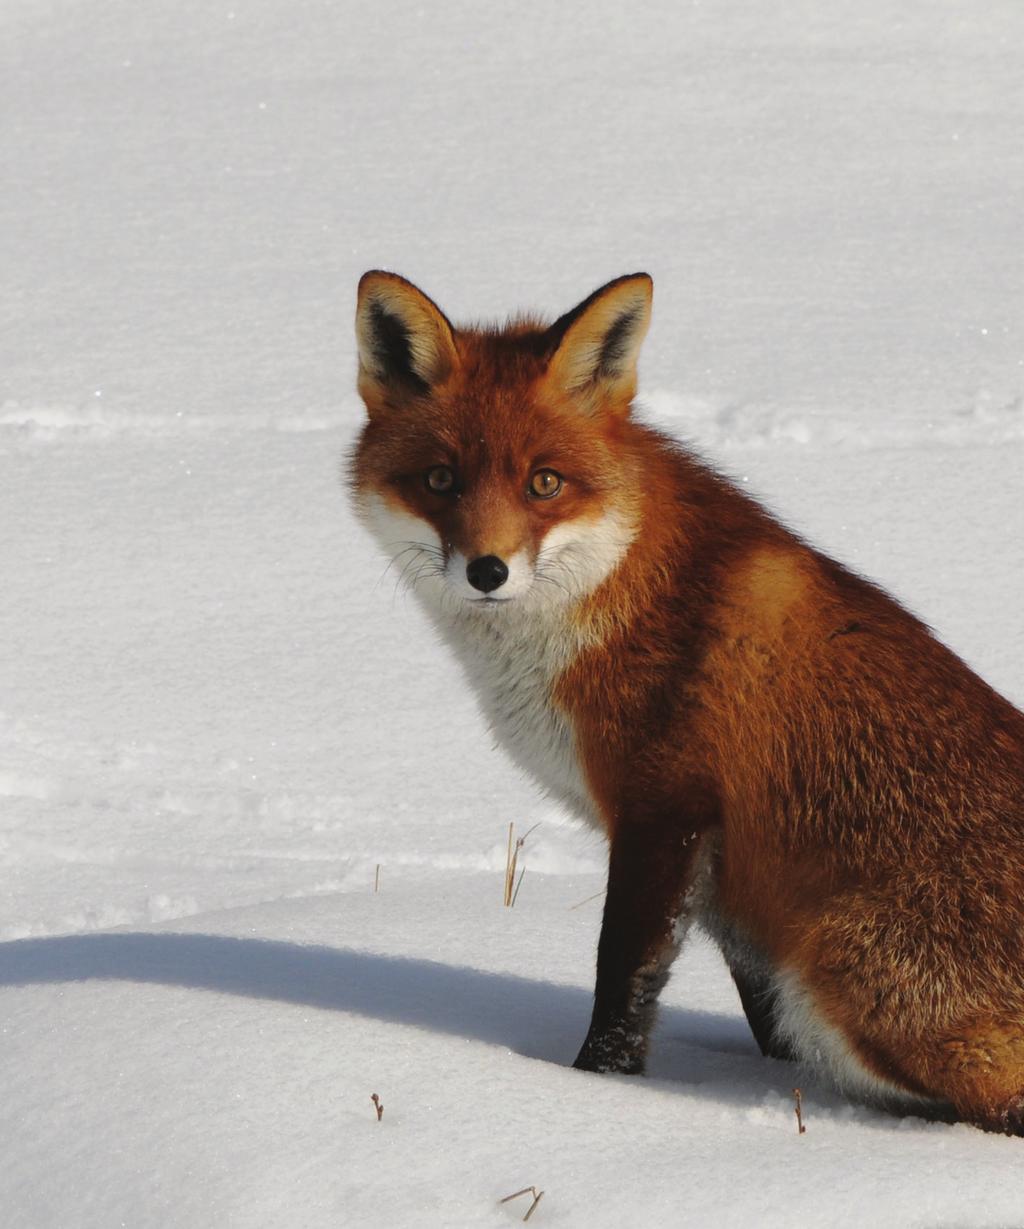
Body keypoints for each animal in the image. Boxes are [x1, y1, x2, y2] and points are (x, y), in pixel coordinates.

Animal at [346, 269, 1022, 1130]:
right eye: (440, 480)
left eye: (544, 482)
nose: (487, 571)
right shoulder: (726, 867)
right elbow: (753, 1002)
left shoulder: (665, 806)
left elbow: (625, 976)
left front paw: (596, 1088)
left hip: (841, 961)